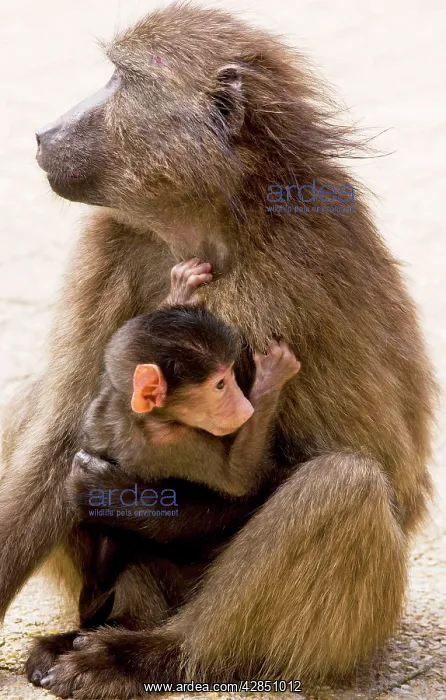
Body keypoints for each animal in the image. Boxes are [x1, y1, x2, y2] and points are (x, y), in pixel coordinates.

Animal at [0, 3, 437, 698]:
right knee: (37, 405)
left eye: (122, 79)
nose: (43, 134)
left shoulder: (286, 285)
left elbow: (372, 464)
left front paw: (140, 507)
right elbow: (63, 431)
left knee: (345, 486)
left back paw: (154, 655)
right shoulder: (109, 241)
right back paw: (91, 633)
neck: (209, 219)